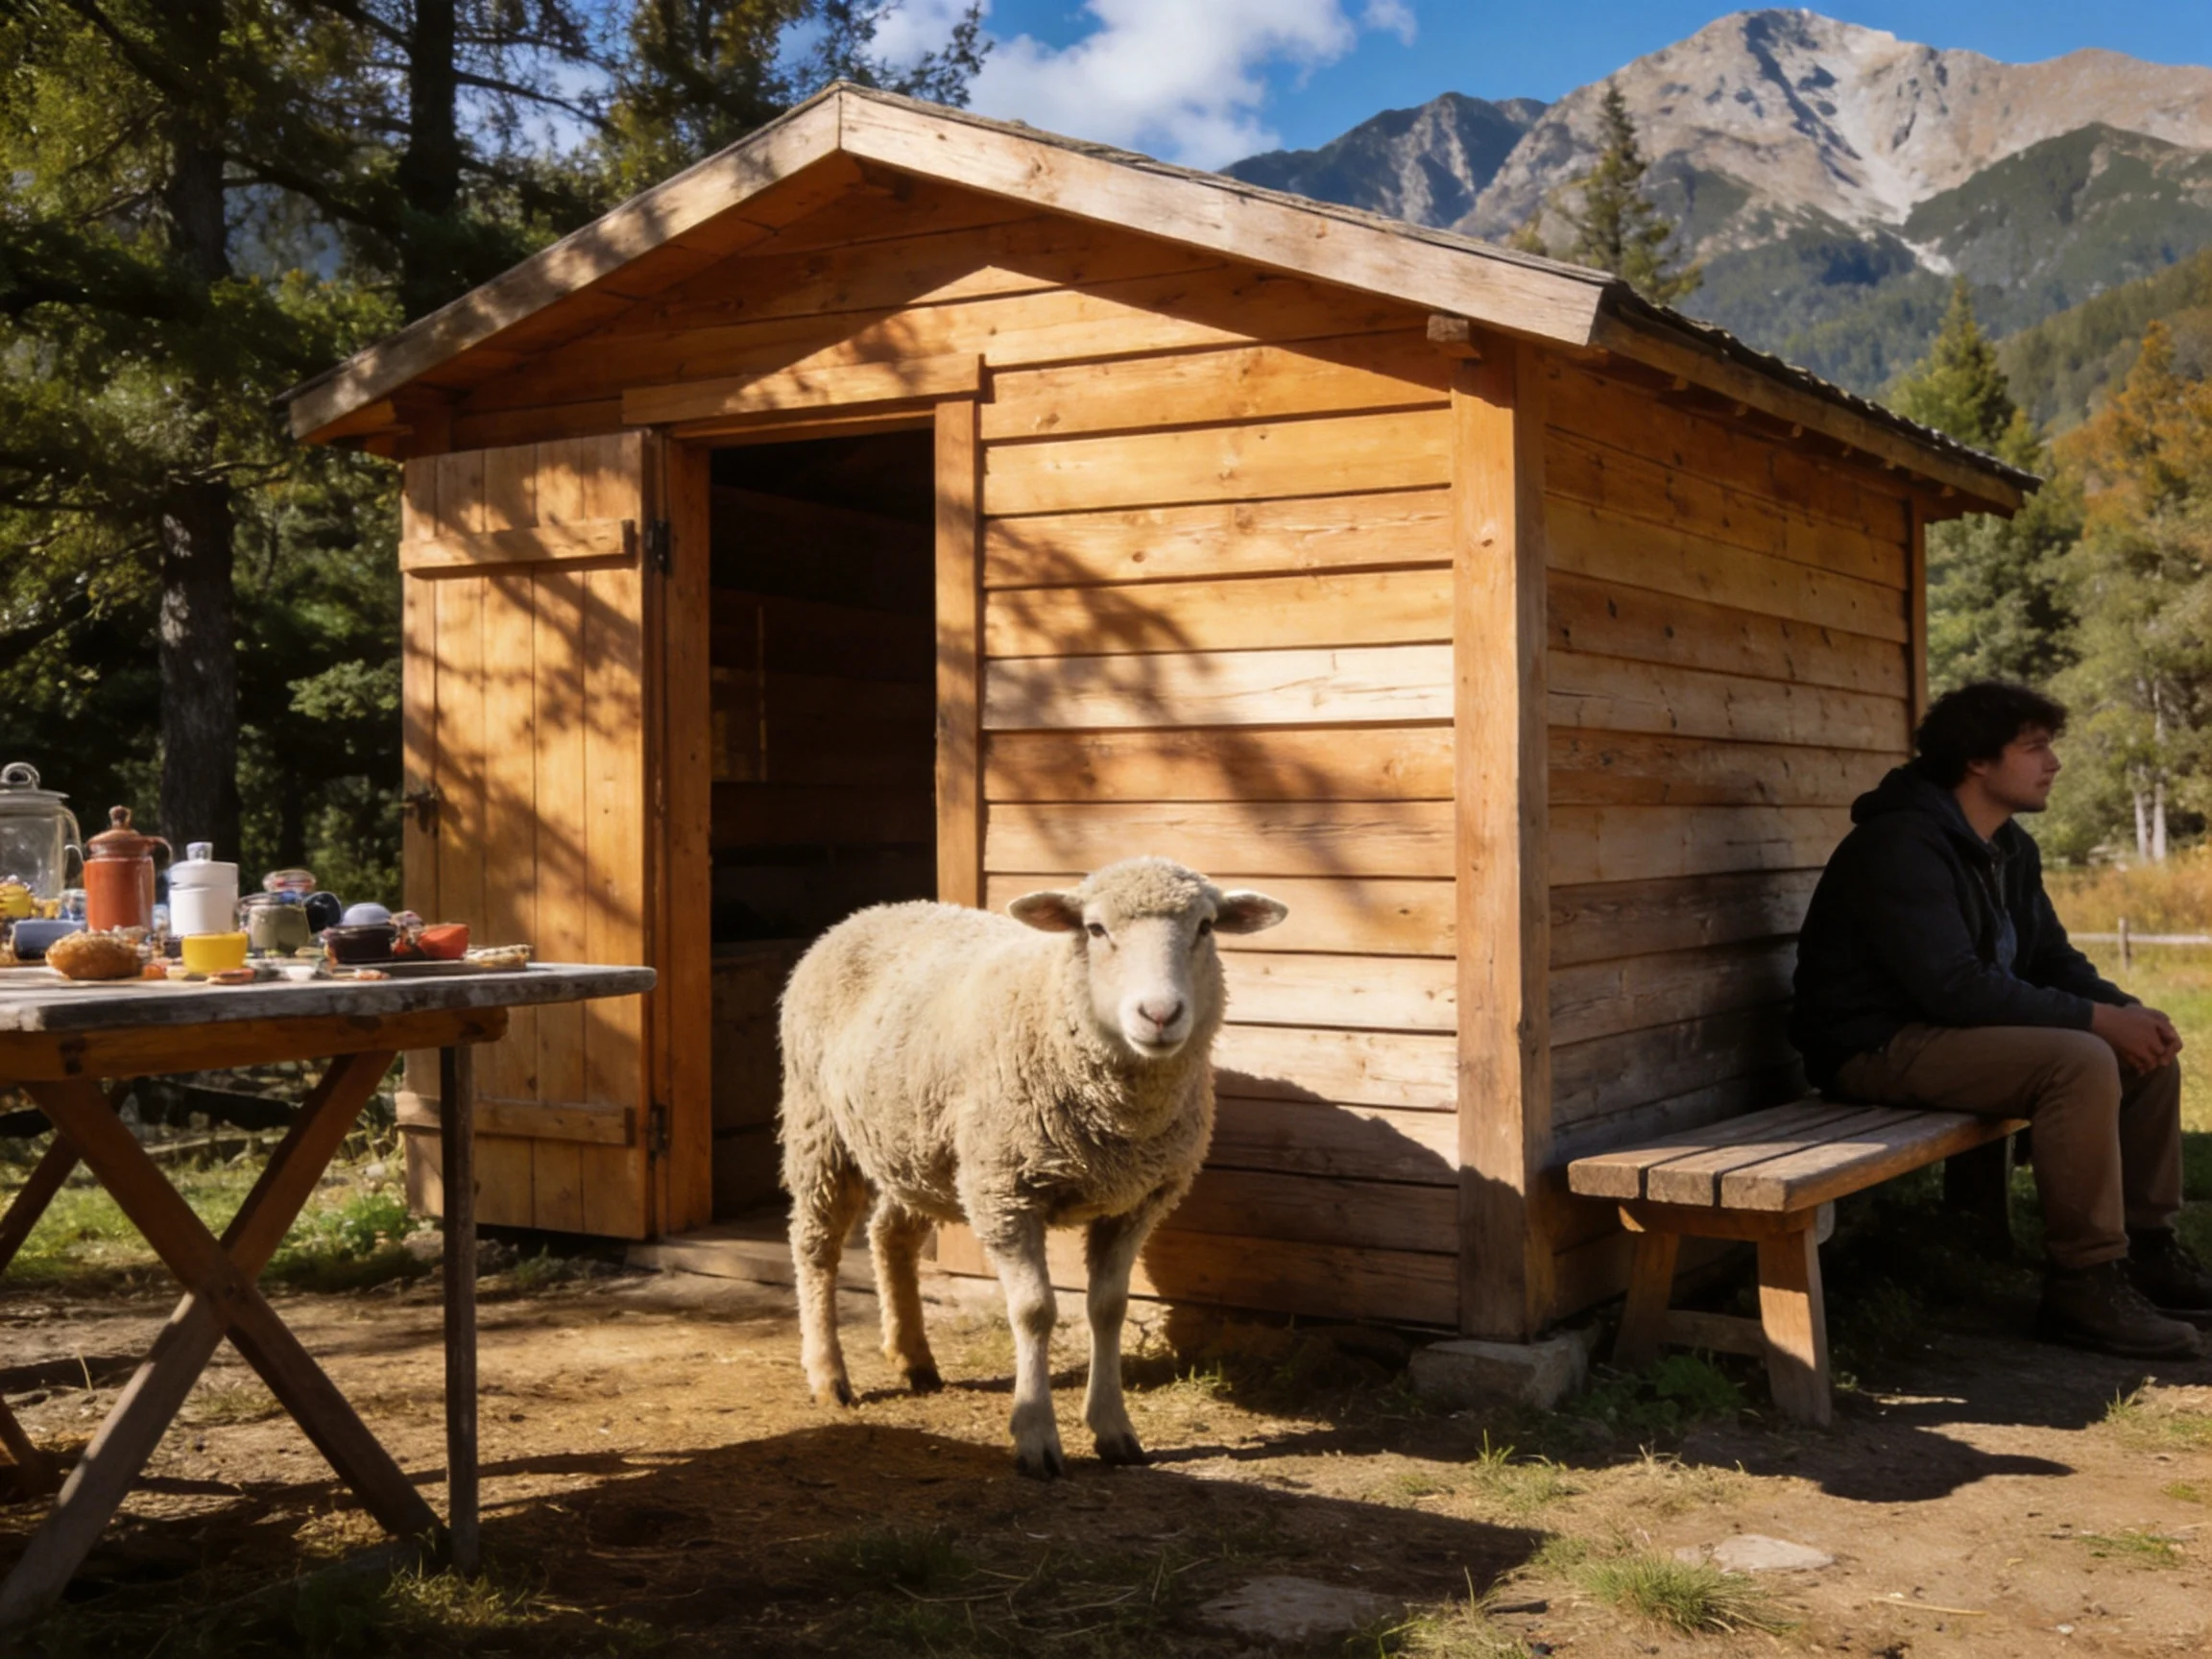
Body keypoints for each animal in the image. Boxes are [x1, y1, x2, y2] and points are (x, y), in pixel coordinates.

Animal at [778, 856, 1287, 1477]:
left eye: (1206, 926)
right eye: (1095, 929)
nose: (1160, 1014)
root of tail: (869, 912)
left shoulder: (1136, 1202)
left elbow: (1108, 1309)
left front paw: (1114, 1429)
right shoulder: (1004, 1190)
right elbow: (1034, 1311)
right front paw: (1036, 1435)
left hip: (918, 1148)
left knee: (890, 1234)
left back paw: (914, 1358)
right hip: (817, 1122)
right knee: (816, 1245)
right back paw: (828, 1374)